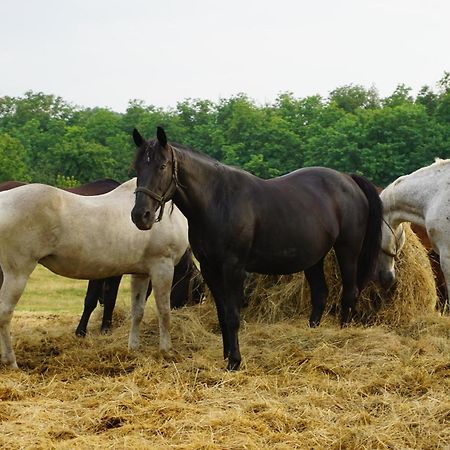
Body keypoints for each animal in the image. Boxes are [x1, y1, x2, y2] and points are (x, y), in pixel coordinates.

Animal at [0, 179, 188, 370]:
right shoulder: (162, 267)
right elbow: (163, 311)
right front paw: (166, 351)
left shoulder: (141, 273)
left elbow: (138, 311)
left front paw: (133, 348)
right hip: (17, 274)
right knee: (4, 314)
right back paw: (11, 362)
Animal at [130, 126, 384, 370]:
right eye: (138, 166)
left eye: (162, 166)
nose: (140, 215)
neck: (218, 201)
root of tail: (348, 179)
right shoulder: (210, 268)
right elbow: (222, 313)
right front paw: (226, 355)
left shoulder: (234, 268)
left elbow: (233, 314)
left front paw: (234, 361)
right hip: (315, 257)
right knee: (320, 294)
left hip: (348, 250)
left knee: (350, 292)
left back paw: (342, 336)